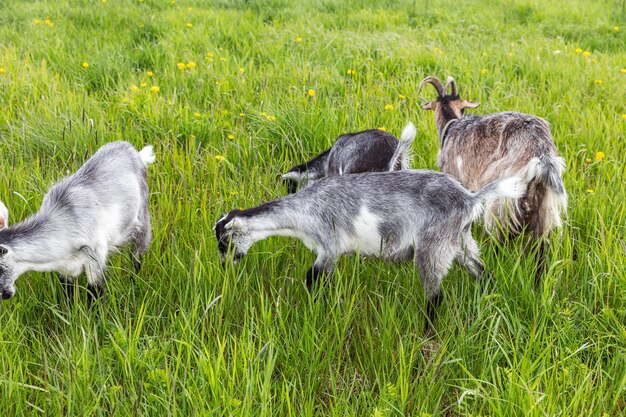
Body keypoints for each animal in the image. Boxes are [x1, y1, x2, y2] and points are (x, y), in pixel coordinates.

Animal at [0, 141, 154, 300]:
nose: (3, 295)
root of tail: (132, 150)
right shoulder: (66, 268)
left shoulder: (96, 257)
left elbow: (95, 292)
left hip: (142, 218)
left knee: (137, 255)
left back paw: (134, 281)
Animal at [213, 170, 520, 328]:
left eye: (224, 243)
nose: (224, 265)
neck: (304, 211)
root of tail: (470, 198)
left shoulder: (330, 246)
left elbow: (313, 279)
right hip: (462, 241)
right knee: (481, 271)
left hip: (434, 246)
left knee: (435, 295)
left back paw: (426, 330)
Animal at [420, 75, 564, 274]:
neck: (451, 126)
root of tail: (541, 153)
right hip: (545, 210)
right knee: (540, 252)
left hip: (503, 199)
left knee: (499, 237)